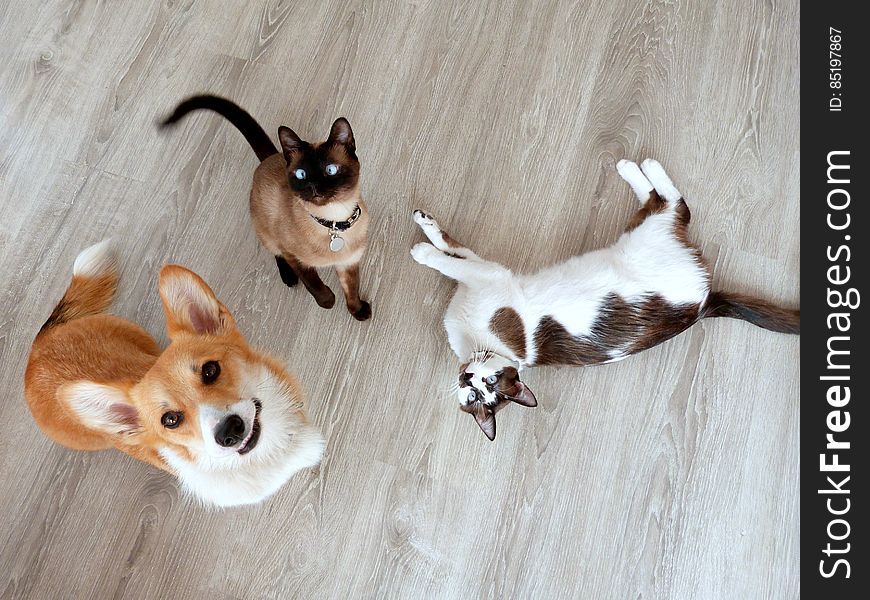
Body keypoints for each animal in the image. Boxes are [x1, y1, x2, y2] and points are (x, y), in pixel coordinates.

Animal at [164, 96, 372, 322]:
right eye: (301, 174)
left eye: (331, 170)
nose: (313, 186)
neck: (333, 222)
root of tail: (271, 158)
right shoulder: (293, 255)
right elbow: (312, 282)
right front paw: (327, 302)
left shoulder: (348, 262)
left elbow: (352, 289)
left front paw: (359, 312)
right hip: (267, 230)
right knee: (275, 252)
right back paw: (289, 278)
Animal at [412, 158, 800, 440]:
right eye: (473, 397)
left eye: (489, 385)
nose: (467, 379)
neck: (480, 346)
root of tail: (703, 306)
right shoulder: (481, 276)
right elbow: (455, 249)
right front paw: (428, 232)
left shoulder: (490, 277)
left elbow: (451, 256)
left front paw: (423, 247)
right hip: (645, 235)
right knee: (664, 207)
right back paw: (634, 169)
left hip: (644, 241)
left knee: (674, 205)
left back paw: (637, 166)